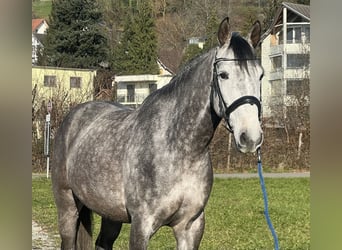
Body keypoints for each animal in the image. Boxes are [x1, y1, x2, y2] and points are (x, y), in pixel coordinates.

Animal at [51, 16, 264, 249]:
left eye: (260, 75)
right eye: (223, 75)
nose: (250, 137)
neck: (179, 150)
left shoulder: (191, 227)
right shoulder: (141, 226)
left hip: (110, 213)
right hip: (67, 205)